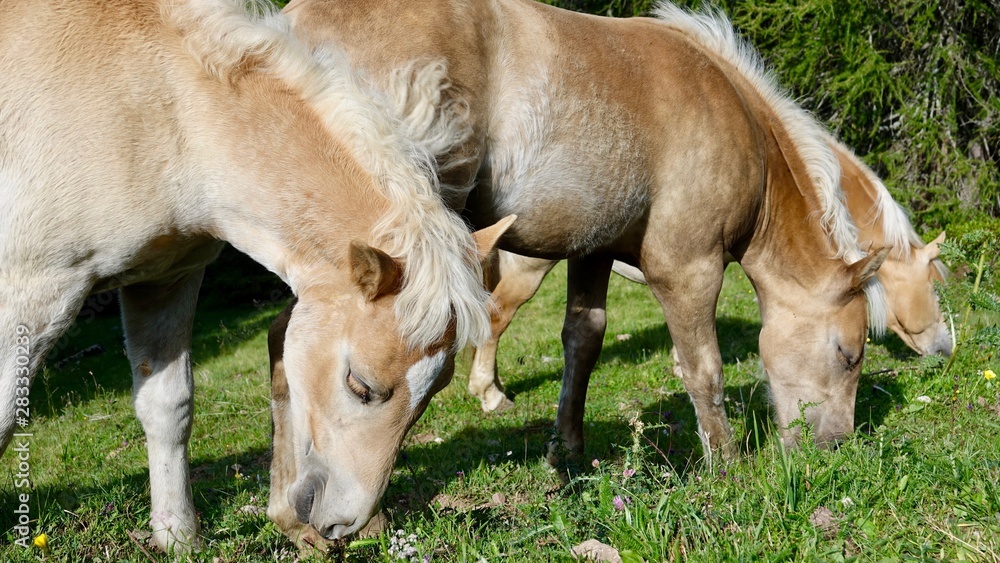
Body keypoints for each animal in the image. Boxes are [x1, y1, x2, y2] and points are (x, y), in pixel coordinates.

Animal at [0, 0, 512, 556]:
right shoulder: (34, 290)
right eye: (359, 385)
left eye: (436, 390)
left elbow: (168, 406)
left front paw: (178, 537)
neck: (159, 108)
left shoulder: (166, 278)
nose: (341, 525)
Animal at [274, 0, 892, 548]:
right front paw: (726, 466)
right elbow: (704, 370)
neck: (733, 116)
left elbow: (583, 343)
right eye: (848, 355)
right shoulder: (689, 270)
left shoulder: (593, 250)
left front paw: (565, 447)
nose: (838, 446)